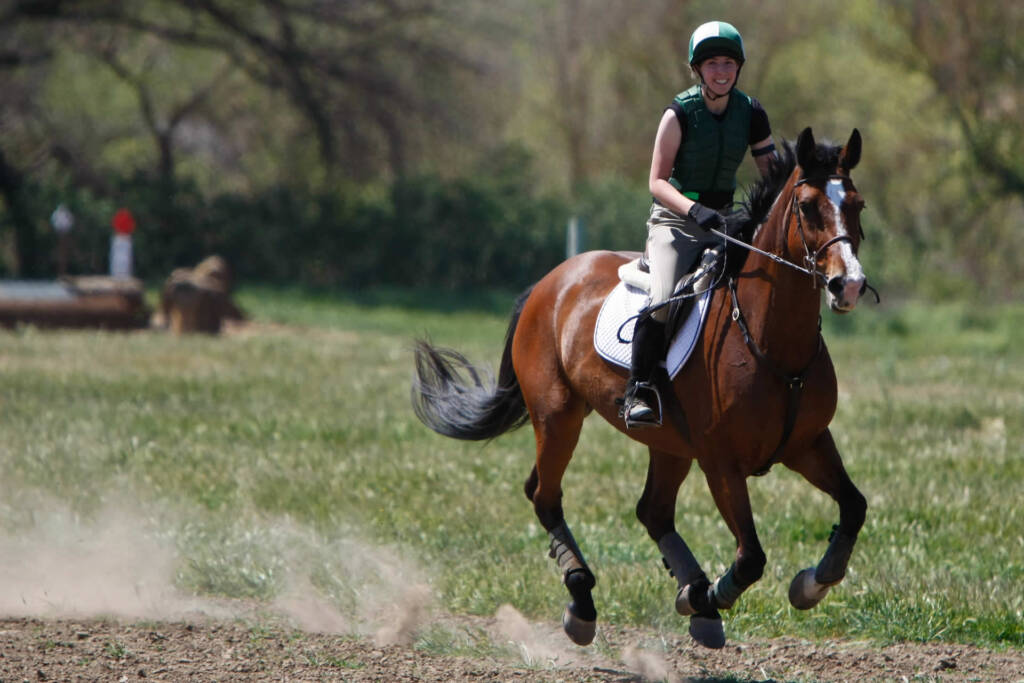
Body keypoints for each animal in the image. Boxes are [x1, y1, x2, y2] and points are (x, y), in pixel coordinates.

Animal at [412, 127, 869, 649]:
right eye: (809, 207)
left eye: (857, 204)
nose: (849, 285)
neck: (771, 340)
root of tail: (550, 281)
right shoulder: (721, 463)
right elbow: (751, 557)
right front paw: (709, 595)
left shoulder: (808, 444)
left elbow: (854, 507)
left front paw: (810, 584)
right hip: (558, 416)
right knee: (545, 495)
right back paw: (584, 601)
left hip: (668, 443)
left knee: (652, 511)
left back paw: (694, 601)